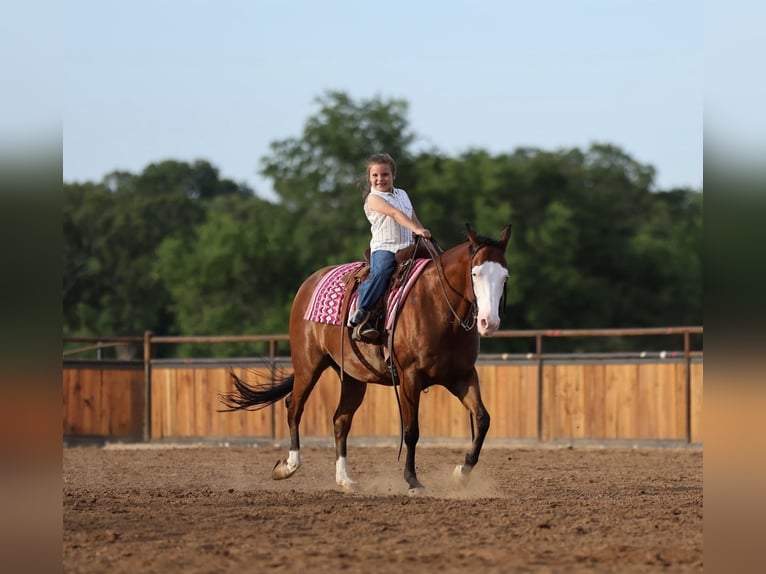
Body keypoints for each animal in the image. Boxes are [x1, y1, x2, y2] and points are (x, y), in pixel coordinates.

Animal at [220, 224, 512, 493]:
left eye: (505, 275)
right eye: (475, 273)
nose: (489, 323)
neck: (437, 306)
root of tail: (309, 283)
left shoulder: (462, 376)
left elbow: (483, 419)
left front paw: (461, 472)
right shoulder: (409, 377)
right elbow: (411, 430)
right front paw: (413, 480)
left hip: (353, 377)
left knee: (340, 420)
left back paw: (345, 479)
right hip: (308, 365)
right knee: (294, 406)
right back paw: (289, 466)